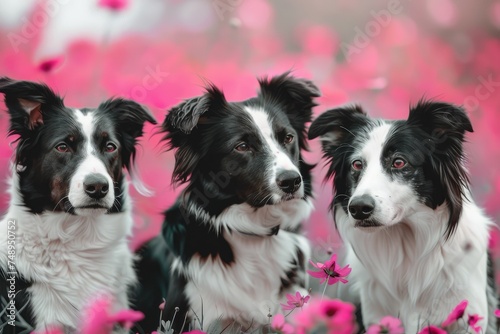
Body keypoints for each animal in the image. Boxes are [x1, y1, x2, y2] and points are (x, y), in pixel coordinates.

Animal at [308, 101, 496, 334]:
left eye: (399, 162)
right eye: (357, 164)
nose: (358, 208)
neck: (405, 241)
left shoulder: (468, 319)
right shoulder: (376, 317)